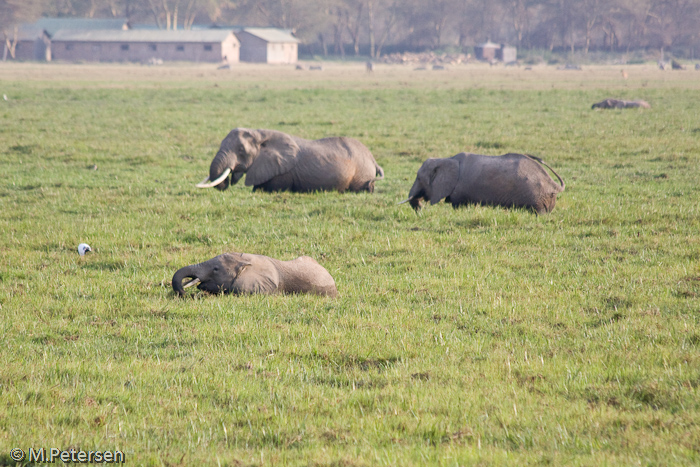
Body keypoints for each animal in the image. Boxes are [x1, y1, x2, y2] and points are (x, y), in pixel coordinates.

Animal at [196, 128, 382, 194]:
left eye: (241, 150)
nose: (225, 183)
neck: (260, 133)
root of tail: (373, 160)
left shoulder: (281, 172)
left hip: (362, 173)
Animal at [402, 153, 568, 215]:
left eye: (419, 178)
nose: (420, 210)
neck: (446, 159)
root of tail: (553, 184)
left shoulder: (460, 194)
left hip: (537, 197)